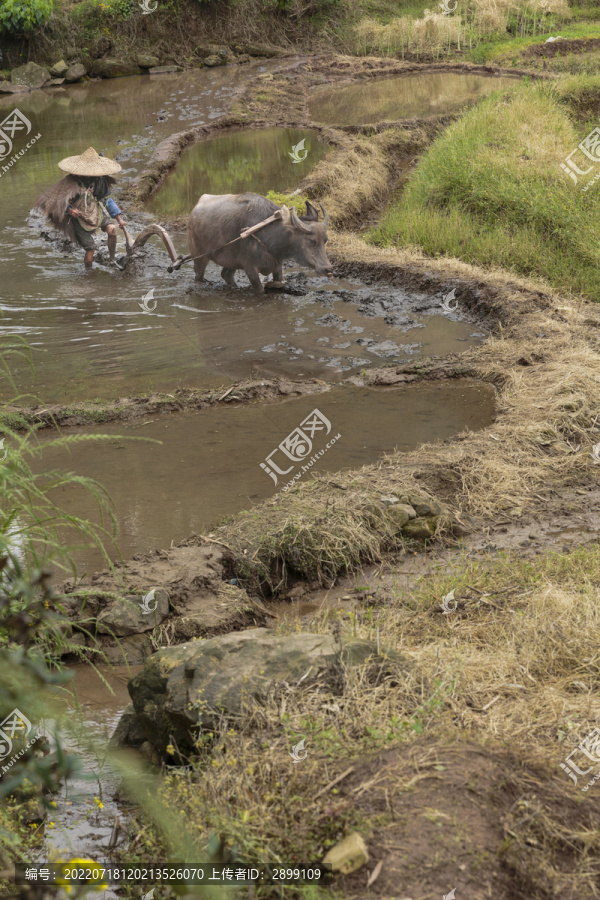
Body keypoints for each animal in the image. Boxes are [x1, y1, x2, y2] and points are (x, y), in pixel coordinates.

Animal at [188, 192, 332, 294]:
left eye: (325, 240)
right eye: (312, 240)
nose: (328, 268)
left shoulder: (277, 266)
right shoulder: (250, 269)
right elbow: (260, 290)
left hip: (231, 261)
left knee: (226, 275)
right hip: (199, 257)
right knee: (199, 276)